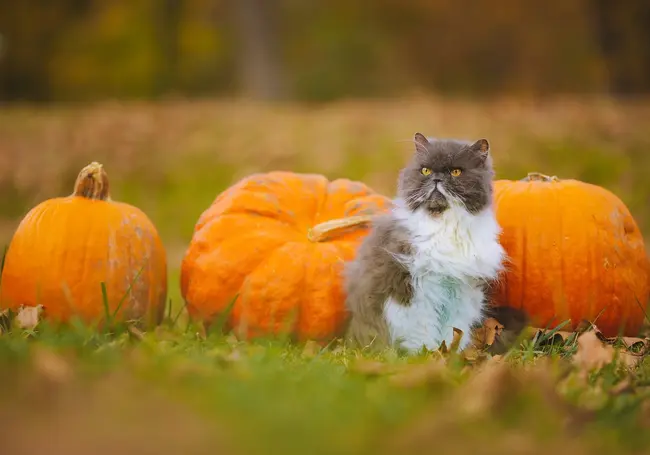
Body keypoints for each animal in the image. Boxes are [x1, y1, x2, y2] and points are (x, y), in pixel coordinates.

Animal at [342, 134, 504, 354]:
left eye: (456, 172)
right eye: (425, 170)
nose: (436, 179)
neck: (444, 226)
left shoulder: (461, 291)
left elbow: (453, 330)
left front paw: (450, 354)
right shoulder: (413, 289)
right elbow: (421, 330)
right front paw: (427, 355)